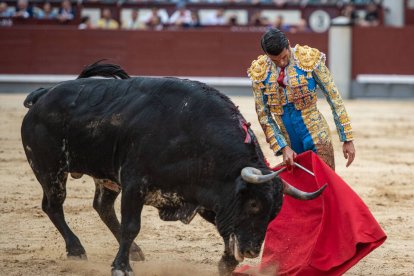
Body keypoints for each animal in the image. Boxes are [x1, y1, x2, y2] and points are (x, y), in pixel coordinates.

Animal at [21, 63, 326, 276]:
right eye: (253, 205)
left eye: (274, 213)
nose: (252, 251)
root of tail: (43, 95)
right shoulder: (135, 183)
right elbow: (132, 225)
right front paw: (121, 267)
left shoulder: (204, 198)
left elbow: (226, 233)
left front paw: (226, 264)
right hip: (50, 169)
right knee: (53, 205)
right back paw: (76, 250)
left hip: (105, 177)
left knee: (102, 206)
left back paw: (134, 251)